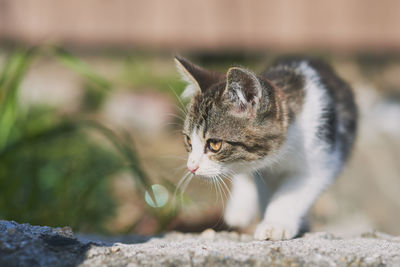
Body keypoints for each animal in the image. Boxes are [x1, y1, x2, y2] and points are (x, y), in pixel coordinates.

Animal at [174, 55, 356, 242]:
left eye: (215, 144)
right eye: (188, 140)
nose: (191, 167)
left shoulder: (323, 159)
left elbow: (293, 193)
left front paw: (275, 224)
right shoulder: (262, 170)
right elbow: (261, 186)